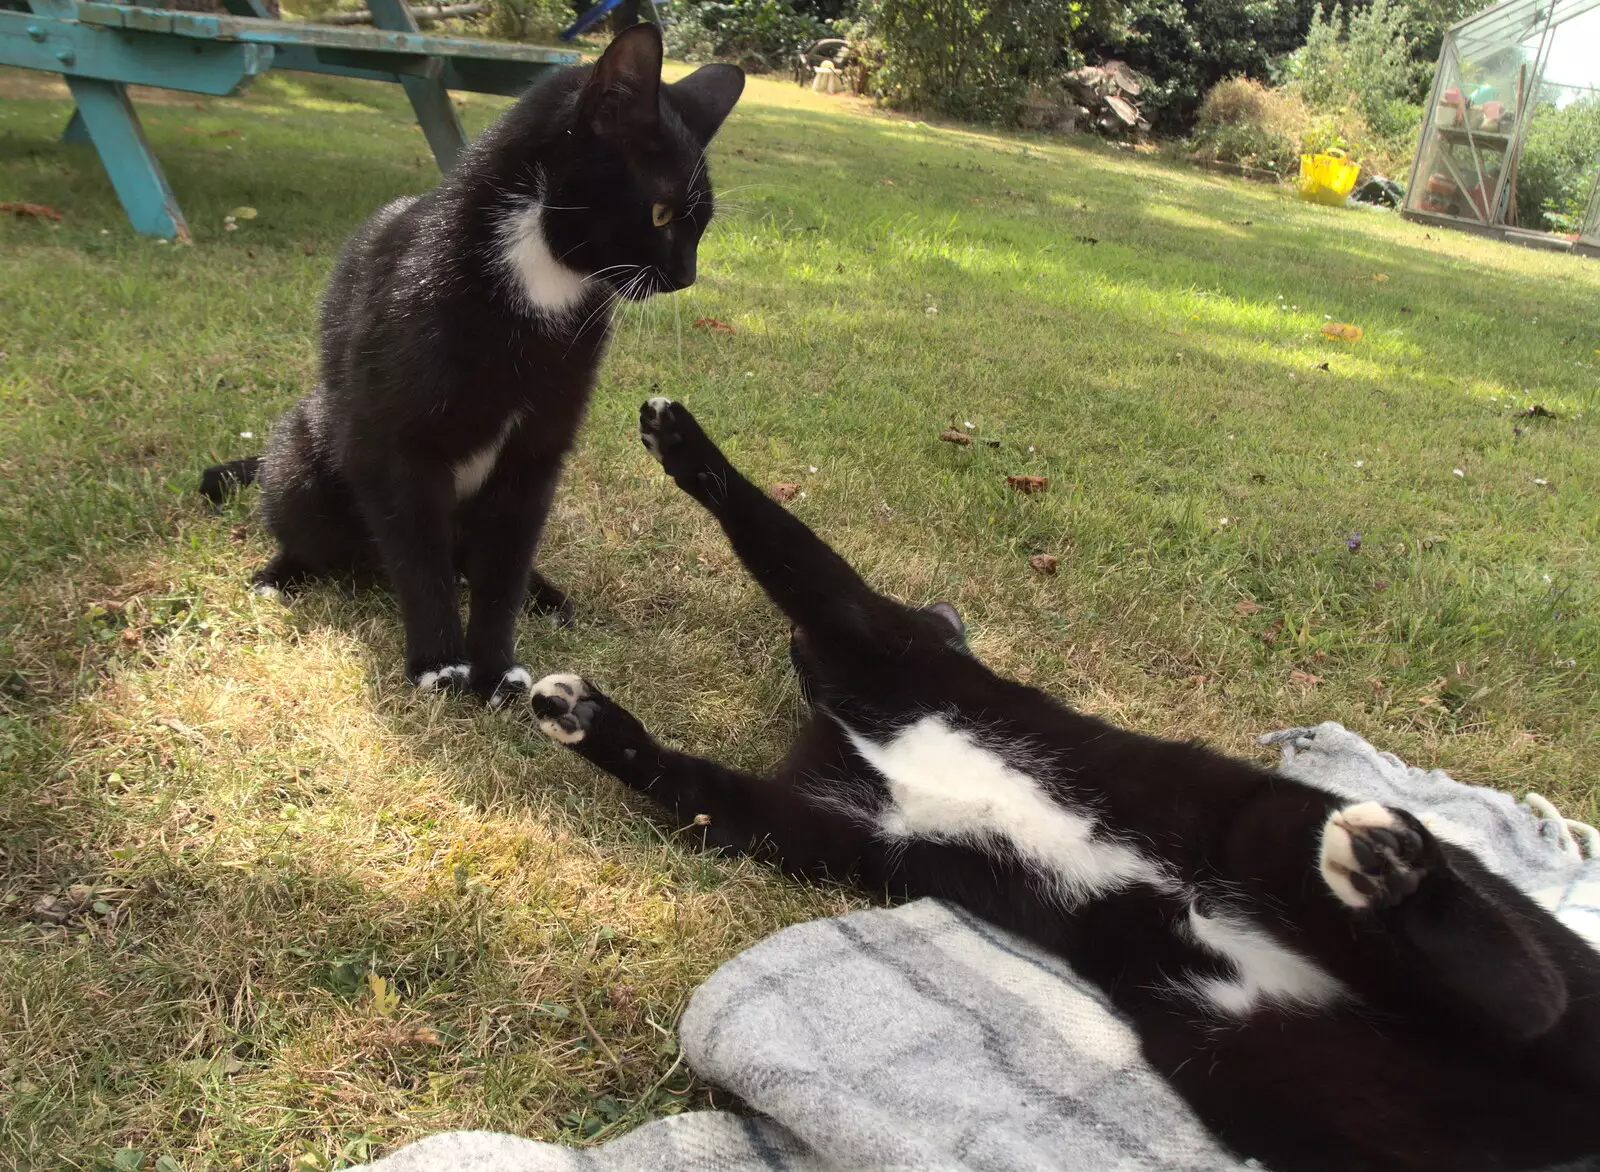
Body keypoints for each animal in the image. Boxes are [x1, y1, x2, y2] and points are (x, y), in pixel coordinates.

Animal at [200, 25, 742, 704]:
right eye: (662, 213)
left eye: (701, 226)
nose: (685, 276)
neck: (538, 281)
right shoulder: (394, 445)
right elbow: (417, 556)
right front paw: (439, 662)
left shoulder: (536, 452)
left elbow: (504, 564)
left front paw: (496, 665)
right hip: (306, 448)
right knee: (307, 520)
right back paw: (282, 572)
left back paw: (544, 594)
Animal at [531, 395, 1600, 1172]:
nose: (797, 654)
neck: (851, 723)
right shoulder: (825, 823)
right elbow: (703, 787)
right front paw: (580, 714)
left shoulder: (879, 641)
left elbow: (793, 552)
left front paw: (683, 442)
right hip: (1259, 1066)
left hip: (1262, 828)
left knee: (1528, 990)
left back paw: (1387, 863)